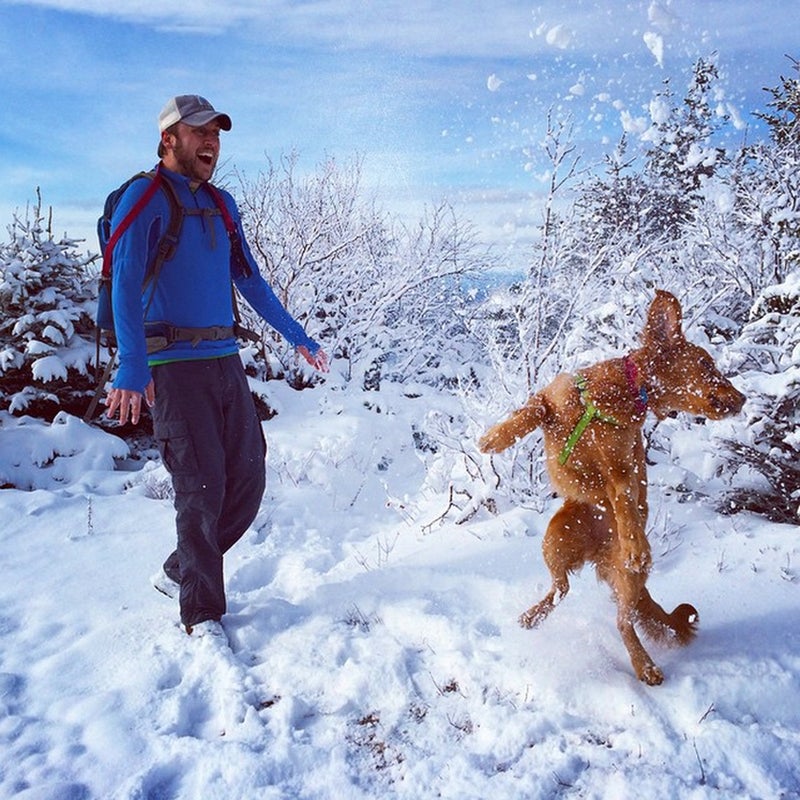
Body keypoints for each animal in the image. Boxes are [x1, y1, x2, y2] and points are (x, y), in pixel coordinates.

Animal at [478, 290, 748, 684]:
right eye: (706, 363)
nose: (743, 398)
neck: (620, 393)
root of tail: (598, 554)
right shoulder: (552, 396)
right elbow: (532, 411)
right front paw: (493, 438)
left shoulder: (624, 463)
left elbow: (623, 498)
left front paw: (636, 543)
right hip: (554, 540)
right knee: (561, 589)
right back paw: (532, 615)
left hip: (624, 579)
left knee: (622, 621)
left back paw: (644, 664)